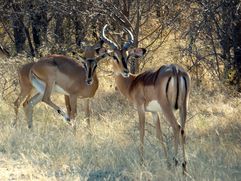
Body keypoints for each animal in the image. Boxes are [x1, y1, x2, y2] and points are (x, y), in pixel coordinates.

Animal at [100, 24, 191, 173]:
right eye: (114, 56)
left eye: (127, 55)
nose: (125, 71)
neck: (132, 83)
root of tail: (176, 70)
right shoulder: (154, 112)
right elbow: (159, 135)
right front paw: (166, 163)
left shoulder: (140, 109)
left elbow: (141, 132)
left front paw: (142, 162)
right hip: (184, 105)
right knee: (183, 129)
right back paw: (184, 167)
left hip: (167, 108)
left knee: (176, 127)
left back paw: (177, 162)